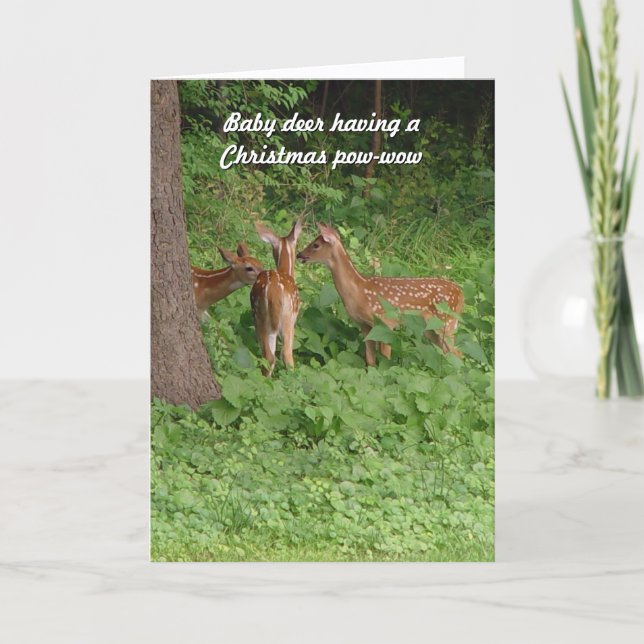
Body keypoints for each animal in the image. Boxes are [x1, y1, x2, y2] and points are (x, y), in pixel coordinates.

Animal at [250, 219, 302, 376]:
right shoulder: (293, 318)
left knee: (268, 356)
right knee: (285, 355)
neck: (285, 270)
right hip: (287, 318)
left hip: (259, 316)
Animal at [297, 224, 464, 366]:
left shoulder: (385, 323)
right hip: (432, 329)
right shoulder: (365, 326)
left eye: (315, 245)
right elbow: (370, 361)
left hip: (447, 322)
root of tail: (461, 292)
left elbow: (385, 359)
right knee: (448, 353)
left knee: (458, 354)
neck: (358, 290)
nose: (299, 254)